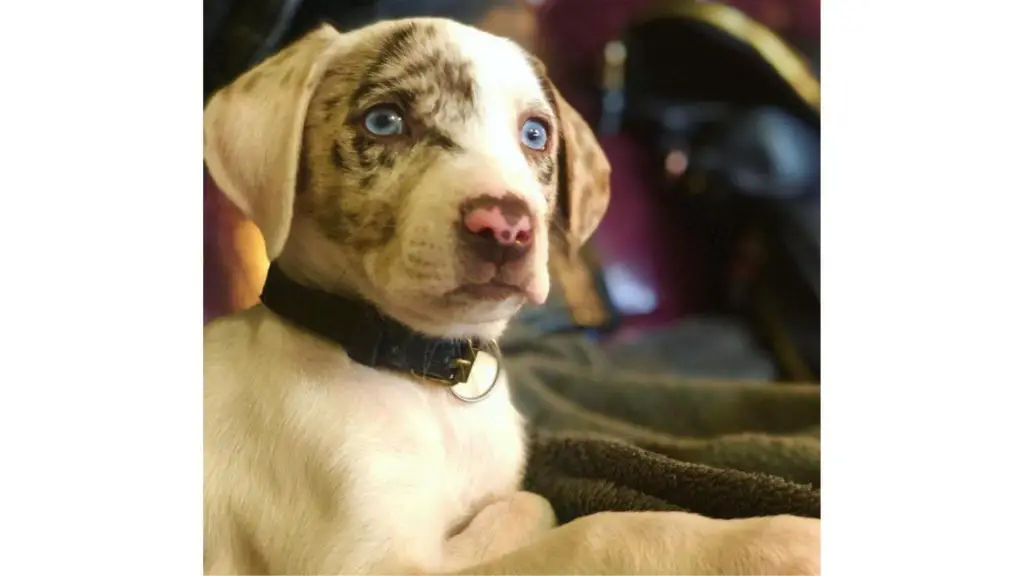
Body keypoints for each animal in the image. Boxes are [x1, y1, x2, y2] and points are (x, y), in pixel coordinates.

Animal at [203, 17, 819, 573]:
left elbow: (529, 503)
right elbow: (585, 532)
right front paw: (770, 542)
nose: (505, 228)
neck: (424, 379)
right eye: (384, 121)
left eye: (535, 133)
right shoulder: (364, 563)